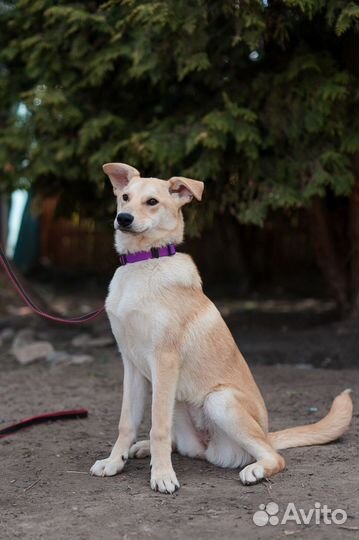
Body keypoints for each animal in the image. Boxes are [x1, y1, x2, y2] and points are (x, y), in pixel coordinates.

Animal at [90, 163, 354, 494]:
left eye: (152, 202)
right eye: (125, 197)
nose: (123, 218)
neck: (142, 263)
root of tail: (266, 433)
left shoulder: (164, 360)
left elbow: (158, 426)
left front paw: (162, 475)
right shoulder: (131, 364)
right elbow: (127, 421)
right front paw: (115, 462)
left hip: (220, 400)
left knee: (275, 456)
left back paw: (256, 470)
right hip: (177, 400)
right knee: (178, 443)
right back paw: (145, 449)